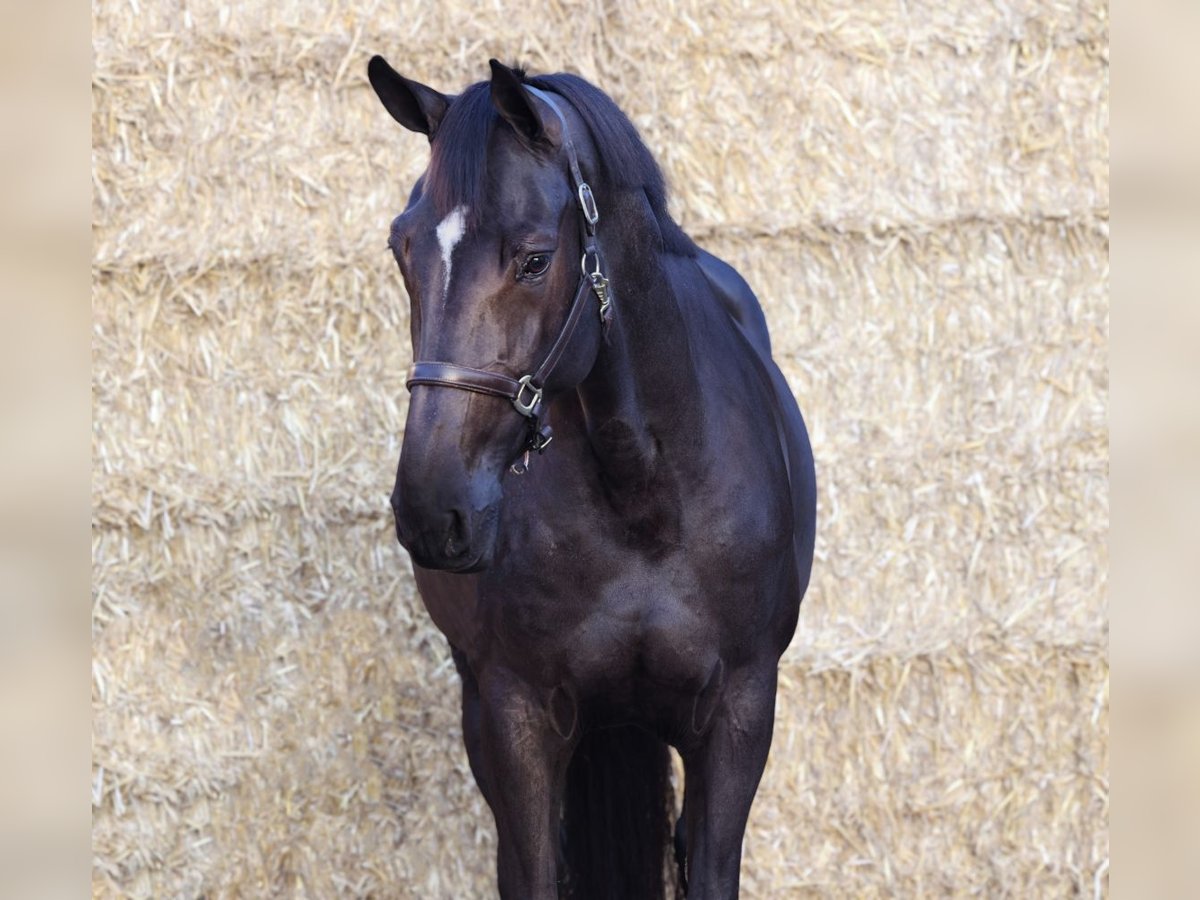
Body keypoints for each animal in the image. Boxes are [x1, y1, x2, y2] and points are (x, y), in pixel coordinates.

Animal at [364, 58, 816, 900]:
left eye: (536, 258)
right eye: (402, 250)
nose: (434, 510)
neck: (646, 494)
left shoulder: (740, 713)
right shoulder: (515, 713)